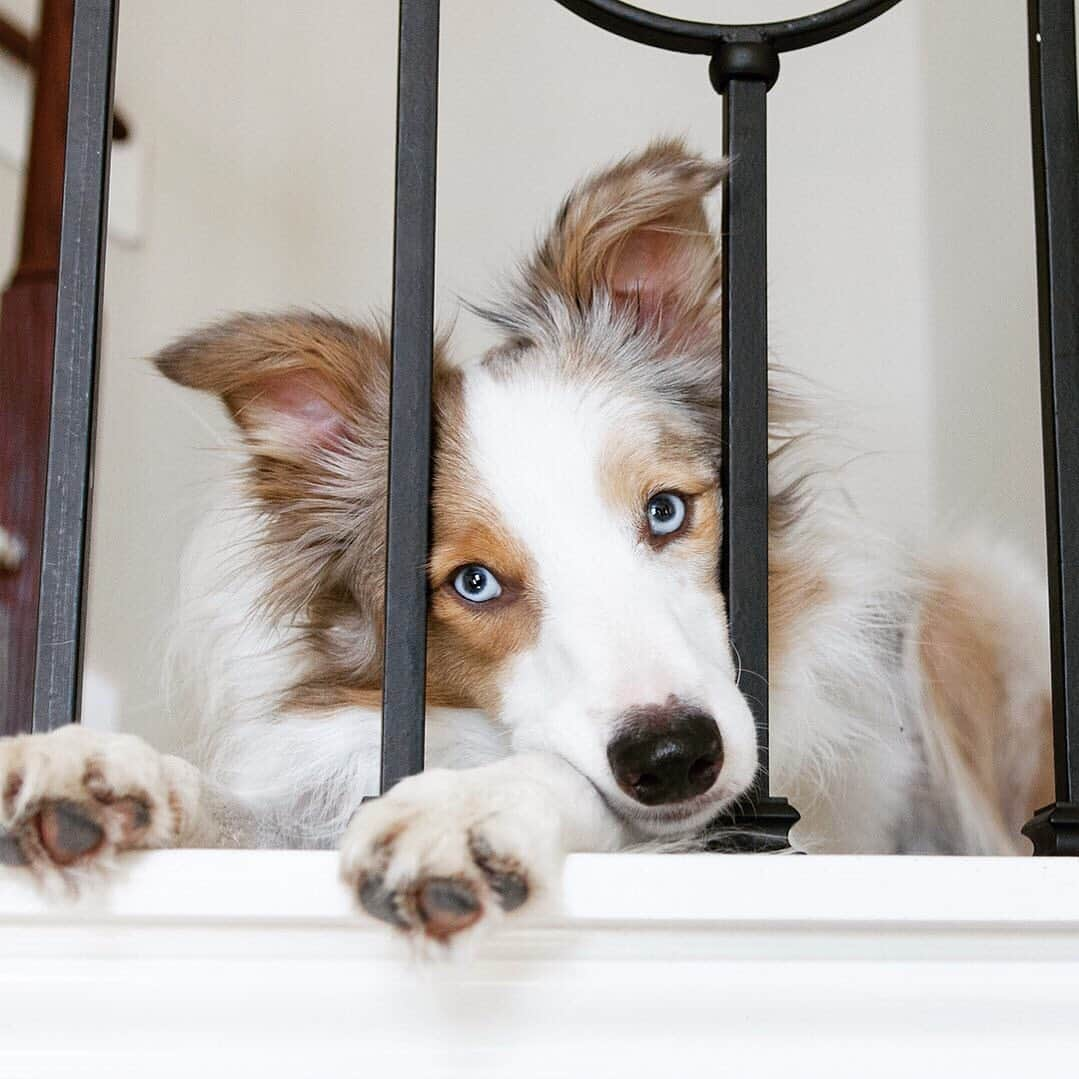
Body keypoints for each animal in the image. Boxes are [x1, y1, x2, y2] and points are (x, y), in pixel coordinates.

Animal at [0, 141, 1048, 945]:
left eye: (665, 511)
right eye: (472, 582)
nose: (675, 757)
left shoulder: (780, 814)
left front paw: (475, 810)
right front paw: (104, 771)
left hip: (964, 598)